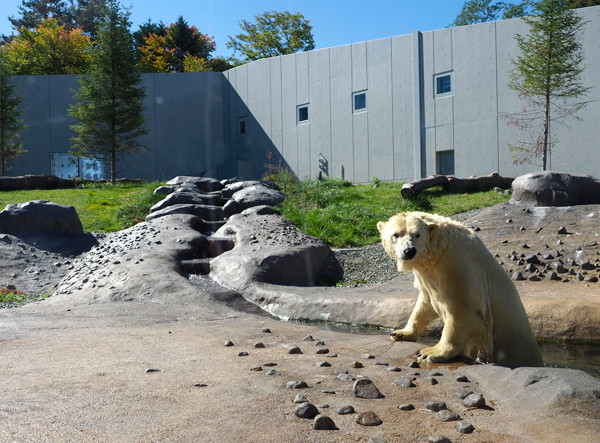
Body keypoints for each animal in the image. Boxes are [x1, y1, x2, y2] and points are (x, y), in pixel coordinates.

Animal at [380, 212, 544, 368]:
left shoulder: (459, 270)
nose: (409, 251)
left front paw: (430, 352)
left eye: (417, 234)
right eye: (396, 234)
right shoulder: (429, 279)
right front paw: (401, 333)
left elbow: (463, 313)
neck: (440, 252)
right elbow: (425, 303)